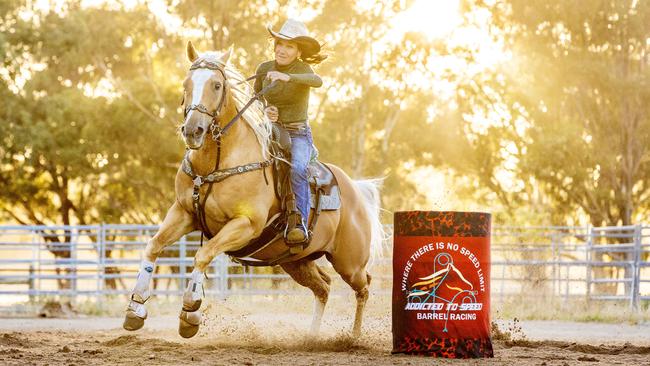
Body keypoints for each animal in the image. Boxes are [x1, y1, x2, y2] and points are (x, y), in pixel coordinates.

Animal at [124, 42, 382, 338]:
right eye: (186, 84)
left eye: (216, 85)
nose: (192, 130)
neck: (216, 164)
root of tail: (356, 191)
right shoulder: (183, 213)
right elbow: (153, 246)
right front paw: (135, 309)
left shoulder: (246, 225)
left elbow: (203, 254)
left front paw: (190, 312)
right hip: (296, 261)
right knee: (324, 286)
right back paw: (312, 337)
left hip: (349, 263)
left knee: (364, 287)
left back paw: (354, 337)